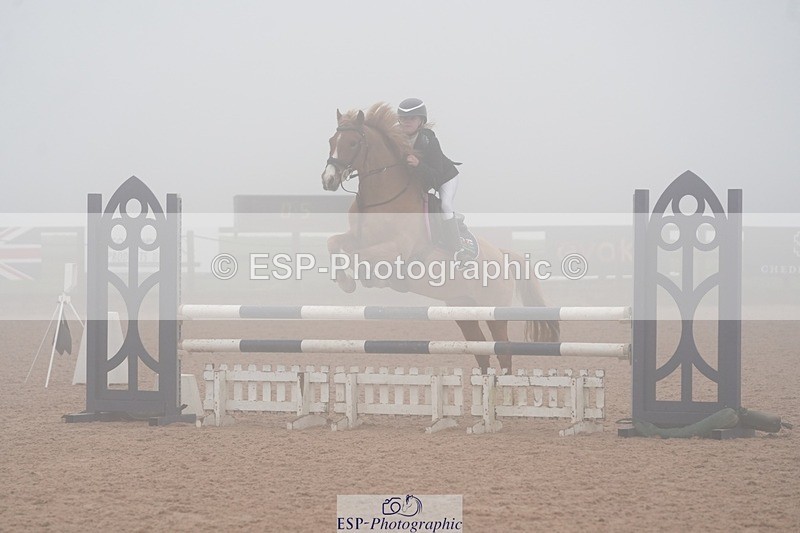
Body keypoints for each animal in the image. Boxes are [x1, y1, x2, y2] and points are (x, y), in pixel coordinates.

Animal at [320, 102, 559, 373]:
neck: (380, 199)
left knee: (503, 351)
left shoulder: (397, 248)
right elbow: (335, 243)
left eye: (352, 143)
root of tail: (502, 255)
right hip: (462, 308)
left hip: (493, 310)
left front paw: (365, 278)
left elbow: (362, 255)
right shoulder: (356, 237)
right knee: (481, 350)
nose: (328, 180)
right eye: (331, 140)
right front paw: (345, 281)